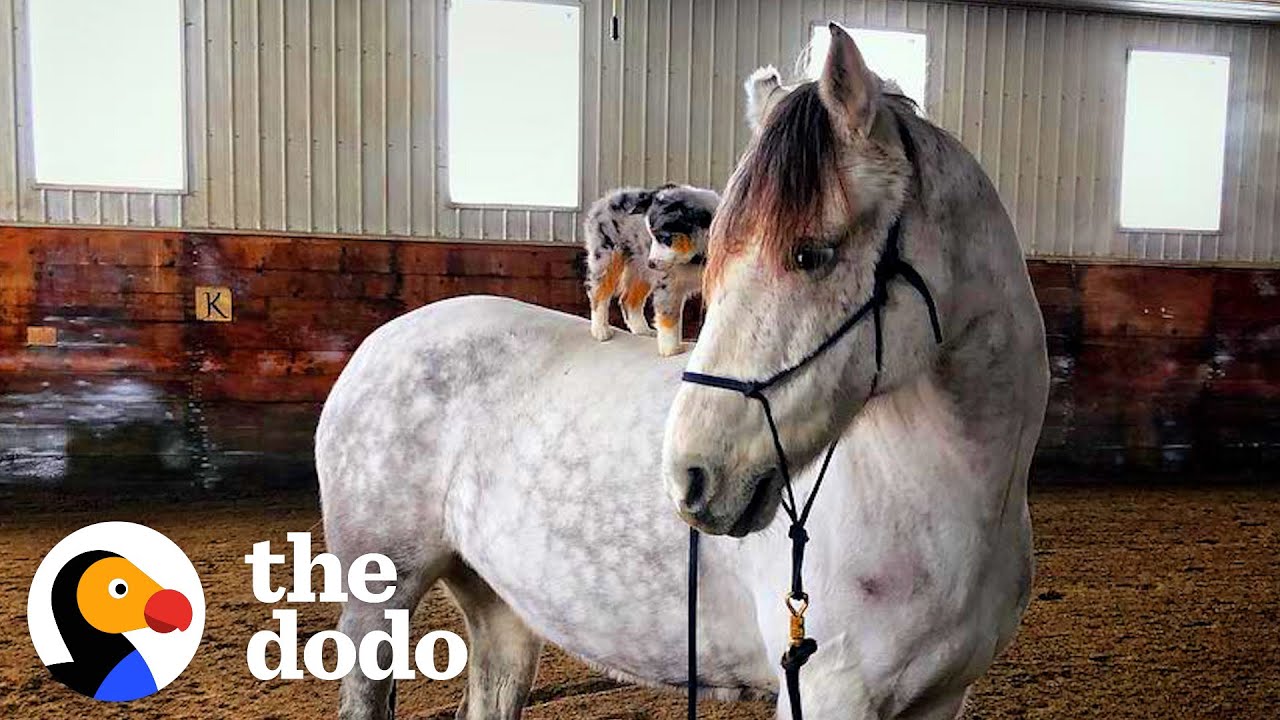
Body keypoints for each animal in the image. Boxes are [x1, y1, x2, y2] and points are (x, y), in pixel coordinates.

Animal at [583, 183, 721, 353]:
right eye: (652, 236)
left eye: (664, 238)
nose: (652, 263)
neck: (696, 257)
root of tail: (607, 198)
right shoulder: (668, 284)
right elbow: (669, 316)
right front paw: (671, 350)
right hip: (607, 256)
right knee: (599, 292)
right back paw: (601, 331)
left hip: (641, 268)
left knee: (629, 300)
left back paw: (643, 331)